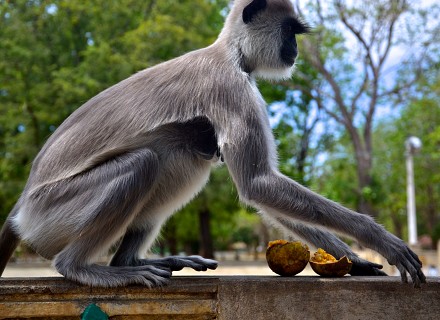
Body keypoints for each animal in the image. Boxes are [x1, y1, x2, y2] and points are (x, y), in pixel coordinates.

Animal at [0, 0, 426, 288]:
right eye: (289, 31)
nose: (294, 50)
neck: (229, 53)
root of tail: (21, 209)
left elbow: (261, 192)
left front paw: (352, 258)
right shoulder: (233, 88)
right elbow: (257, 183)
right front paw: (380, 240)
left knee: (185, 155)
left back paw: (127, 262)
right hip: (52, 213)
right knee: (144, 162)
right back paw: (79, 267)